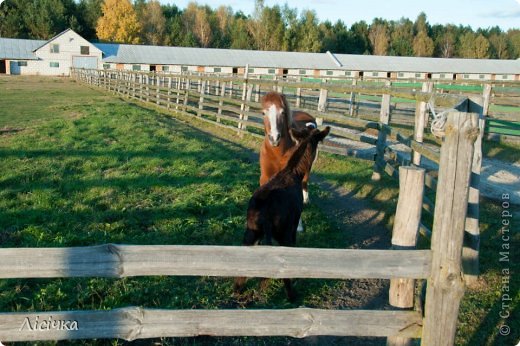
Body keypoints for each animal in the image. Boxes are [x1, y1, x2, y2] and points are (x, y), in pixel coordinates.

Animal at [235, 125, 330, 300]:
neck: (295, 171)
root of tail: (265, 212)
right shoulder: (293, 223)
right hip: (281, 232)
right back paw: (292, 296)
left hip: (251, 232)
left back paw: (237, 291)